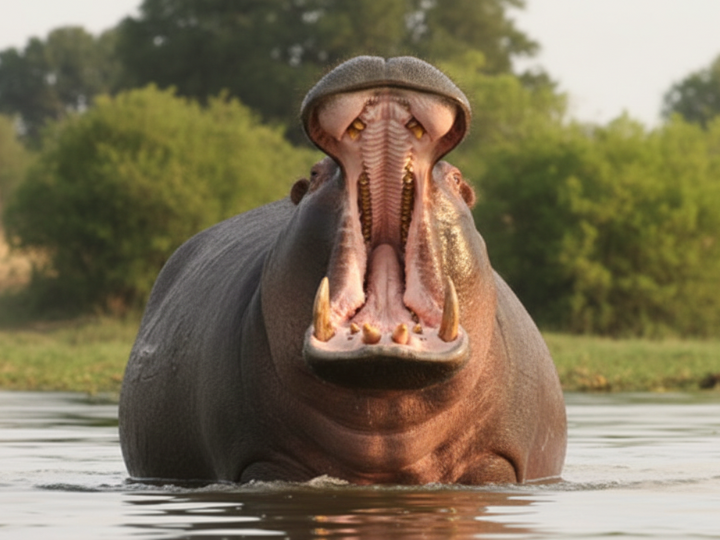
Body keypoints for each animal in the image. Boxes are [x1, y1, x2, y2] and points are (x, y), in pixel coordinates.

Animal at [119, 56, 567, 485]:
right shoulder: (262, 458)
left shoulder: (493, 459)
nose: (387, 59)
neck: (386, 421)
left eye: (458, 180)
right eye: (314, 175)